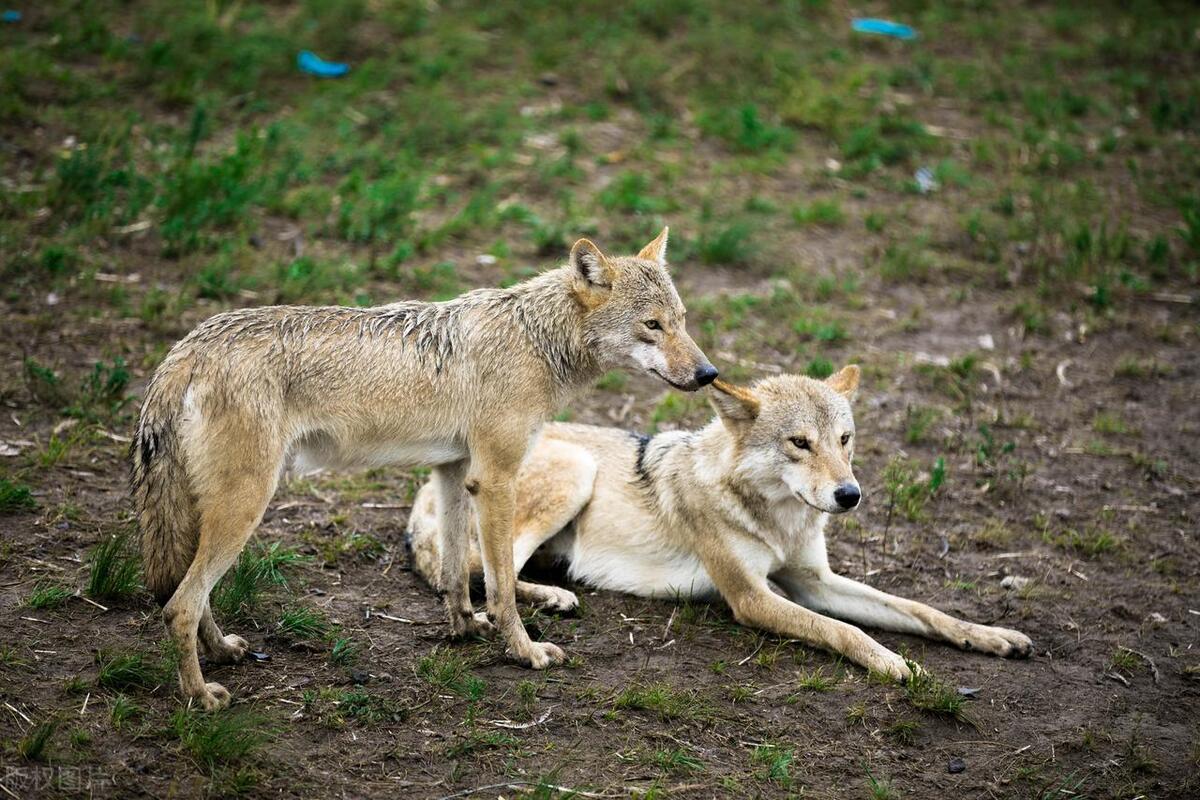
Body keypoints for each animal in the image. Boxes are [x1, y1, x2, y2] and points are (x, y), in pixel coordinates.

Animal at [133, 227, 710, 710]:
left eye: (681, 321)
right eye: (652, 326)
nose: (709, 373)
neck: (533, 341)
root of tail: (186, 348)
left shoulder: (454, 473)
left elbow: (456, 575)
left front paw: (465, 629)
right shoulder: (496, 478)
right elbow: (500, 586)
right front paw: (525, 652)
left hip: (218, 511)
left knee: (192, 595)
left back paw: (223, 651)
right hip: (246, 506)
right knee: (179, 605)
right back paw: (201, 696)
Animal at [410, 367, 1032, 681]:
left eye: (844, 440)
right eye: (799, 443)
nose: (850, 495)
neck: (777, 517)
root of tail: (424, 487)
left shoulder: (815, 581)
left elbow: (921, 609)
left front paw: (990, 635)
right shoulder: (752, 597)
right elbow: (845, 631)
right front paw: (892, 662)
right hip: (573, 472)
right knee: (480, 575)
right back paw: (553, 599)